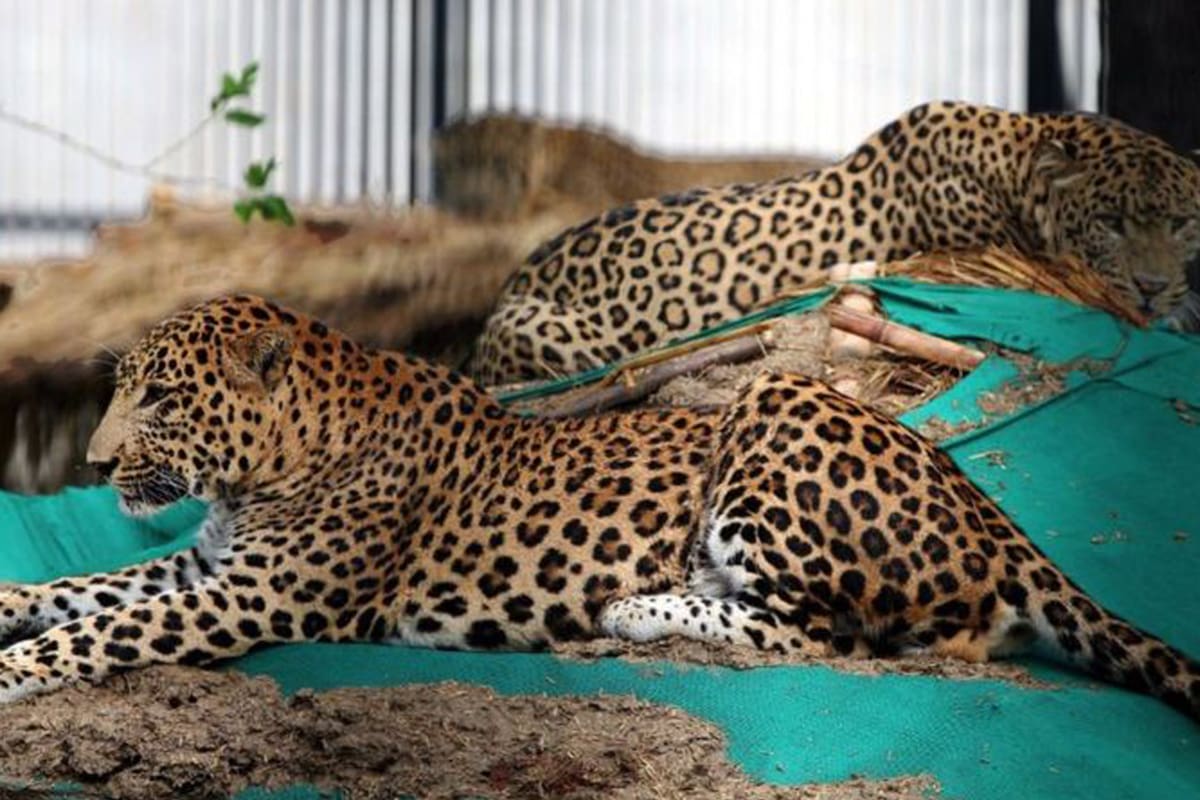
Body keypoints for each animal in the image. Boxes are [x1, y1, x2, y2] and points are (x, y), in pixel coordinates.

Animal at [0, 294, 1195, 722]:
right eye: (123, 389)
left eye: (160, 398)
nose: (97, 461)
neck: (265, 470)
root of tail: (991, 512)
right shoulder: (204, 567)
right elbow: (78, 586)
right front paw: (13, 596)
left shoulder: (251, 598)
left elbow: (99, 629)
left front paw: (12, 672)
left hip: (773, 401)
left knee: (828, 633)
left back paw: (636, 609)